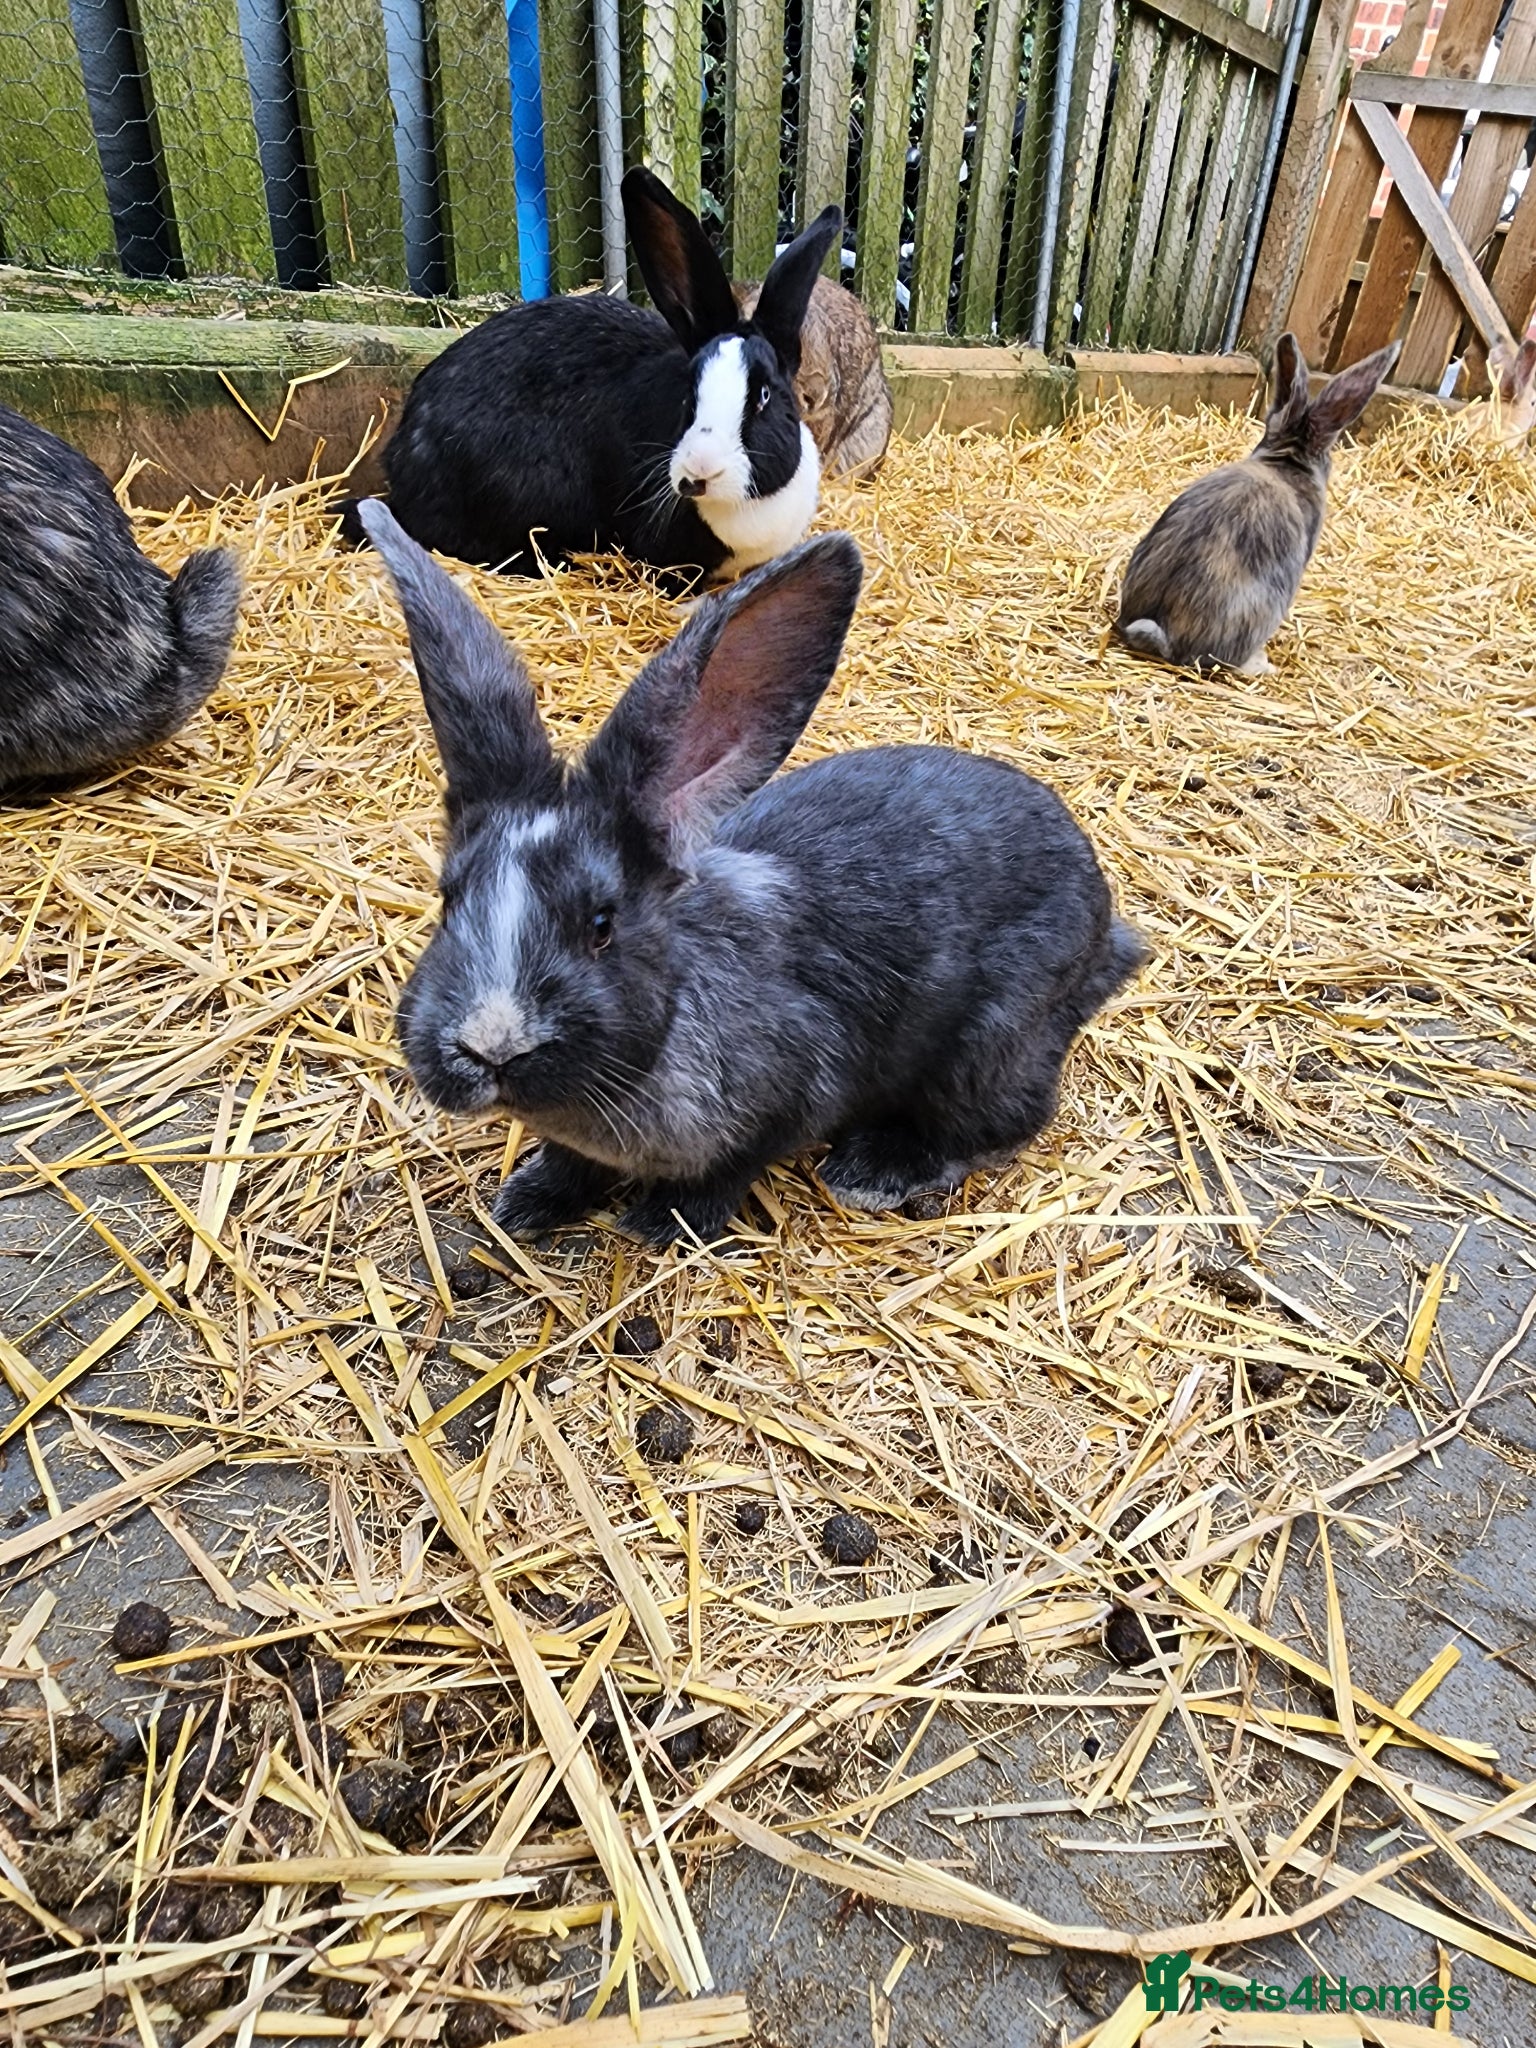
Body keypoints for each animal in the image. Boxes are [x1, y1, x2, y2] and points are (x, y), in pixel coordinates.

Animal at [358, 496, 1146, 1247]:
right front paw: (527, 1201)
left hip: (988, 1049)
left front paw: (664, 1222)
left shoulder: (799, 1091)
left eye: (602, 924)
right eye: (449, 900)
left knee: (1005, 1123)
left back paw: (874, 1172)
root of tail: (1106, 932)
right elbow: (570, 1163)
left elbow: (732, 1169)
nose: (489, 1047)